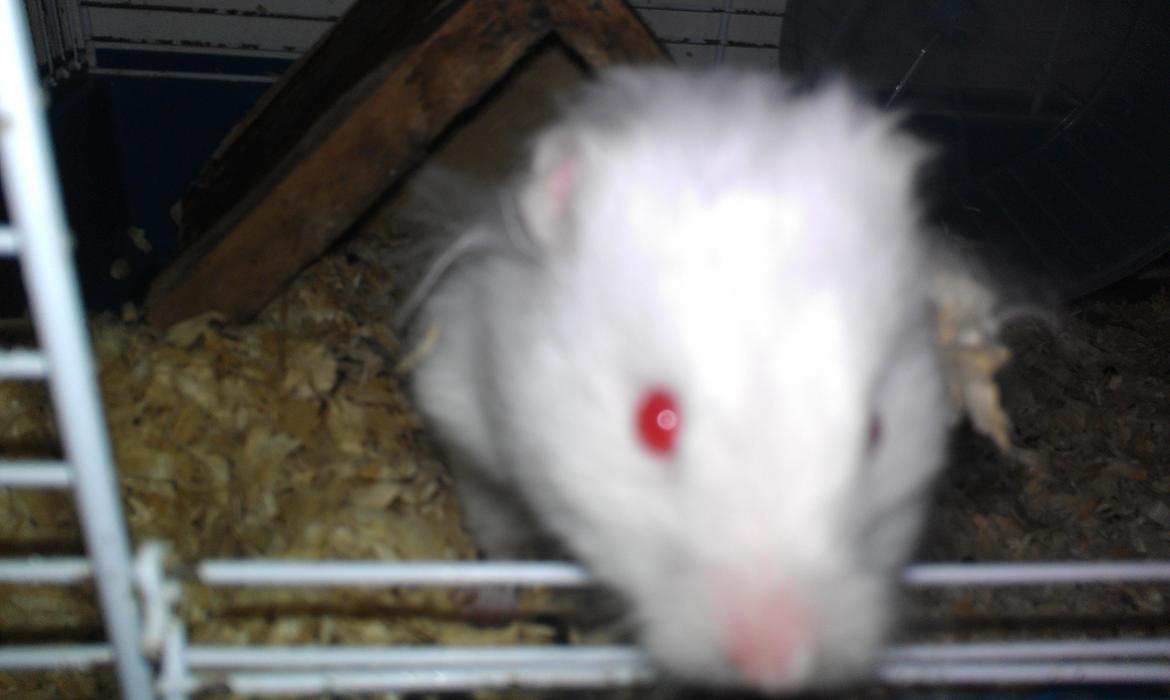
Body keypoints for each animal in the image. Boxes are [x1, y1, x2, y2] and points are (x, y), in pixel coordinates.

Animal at [409, 67, 961, 692]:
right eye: (655, 421)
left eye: (875, 430)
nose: (778, 669)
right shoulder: (465, 422)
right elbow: (497, 533)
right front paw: (492, 609)